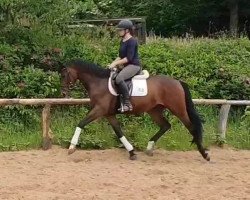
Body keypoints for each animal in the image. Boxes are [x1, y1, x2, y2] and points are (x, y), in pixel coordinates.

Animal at [61, 59, 211, 161]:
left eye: (64, 75)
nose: (63, 93)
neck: (98, 82)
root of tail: (177, 82)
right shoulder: (109, 114)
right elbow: (119, 132)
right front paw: (132, 152)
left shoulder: (99, 110)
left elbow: (81, 123)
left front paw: (71, 147)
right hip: (154, 110)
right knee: (165, 126)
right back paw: (149, 148)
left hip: (178, 109)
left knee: (191, 127)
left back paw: (204, 154)